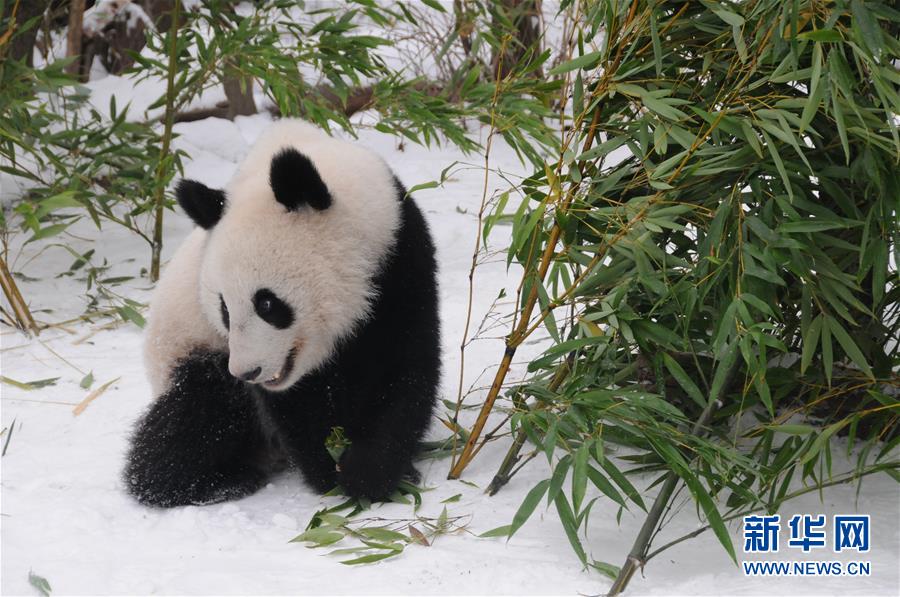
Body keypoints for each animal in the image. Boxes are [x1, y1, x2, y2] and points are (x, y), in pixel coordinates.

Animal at [124, 119, 440, 507]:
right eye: (224, 309)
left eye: (267, 304)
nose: (248, 372)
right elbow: (297, 407)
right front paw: (330, 471)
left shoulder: (399, 262)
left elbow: (404, 370)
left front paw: (371, 473)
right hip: (188, 350)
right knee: (197, 418)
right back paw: (218, 481)